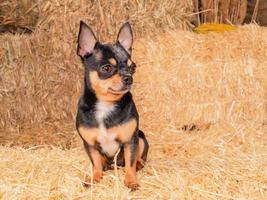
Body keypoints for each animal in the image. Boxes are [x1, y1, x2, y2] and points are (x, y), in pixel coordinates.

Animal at [76, 21, 150, 190]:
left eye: (133, 67)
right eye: (107, 68)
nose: (128, 78)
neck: (106, 104)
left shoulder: (130, 141)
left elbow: (130, 163)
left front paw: (131, 181)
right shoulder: (90, 144)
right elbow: (95, 163)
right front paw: (95, 178)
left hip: (141, 138)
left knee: (137, 160)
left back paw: (139, 165)